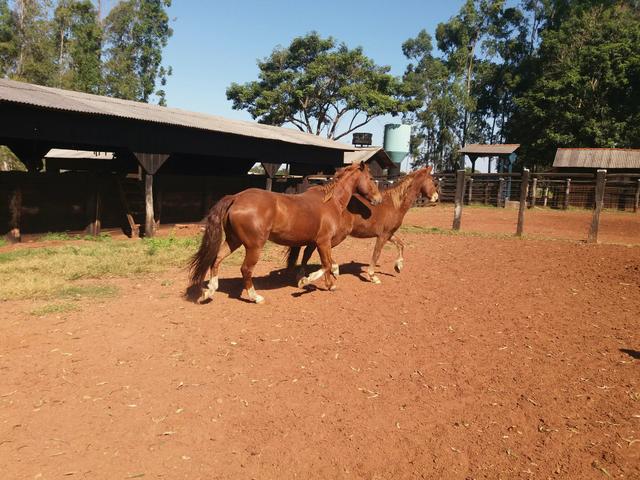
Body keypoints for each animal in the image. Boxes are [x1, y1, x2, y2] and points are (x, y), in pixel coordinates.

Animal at [186, 162, 382, 304]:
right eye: (372, 178)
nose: (378, 200)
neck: (330, 202)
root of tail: (236, 197)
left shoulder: (313, 242)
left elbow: (313, 261)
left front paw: (326, 283)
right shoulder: (323, 241)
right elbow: (325, 264)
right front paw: (307, 281)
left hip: (234, 240)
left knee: (217, 259)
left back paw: (209, 291)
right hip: (254, 246)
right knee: (246, 269)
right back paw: (255, 297)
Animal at [286, 166, 438, 284]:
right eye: (432, 180)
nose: (436, 197)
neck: (394, 204)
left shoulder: (389, 234)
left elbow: (401, 245)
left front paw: (398, 266)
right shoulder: (382, 236)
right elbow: (376, 254)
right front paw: (373, 276)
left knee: (309, 251)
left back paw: (305, 275)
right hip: (336, 236)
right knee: (311, 251)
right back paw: (327, 270)